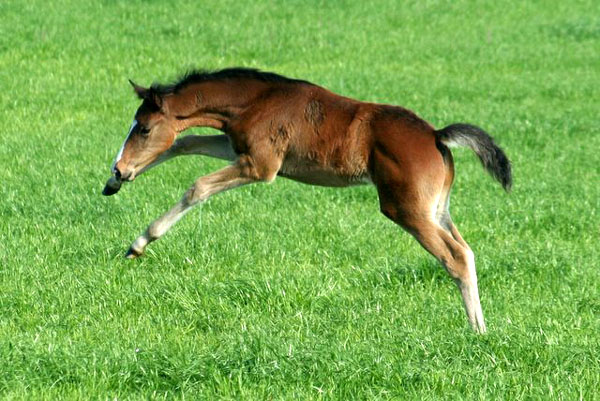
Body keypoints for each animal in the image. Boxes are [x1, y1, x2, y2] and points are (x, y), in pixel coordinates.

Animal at [103, 68, 510, 332]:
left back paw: (477, 332)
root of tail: (437, 136)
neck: (255, 102)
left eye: (144, 128)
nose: (119, 170)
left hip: (405, 209)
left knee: (455, 257)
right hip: (437, 209)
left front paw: (139, 243)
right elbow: (185, 143)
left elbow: (197, 186)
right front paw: (115, 182)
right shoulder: (238, 149)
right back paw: (483, 328)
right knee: (466, 250)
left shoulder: (260, 166)